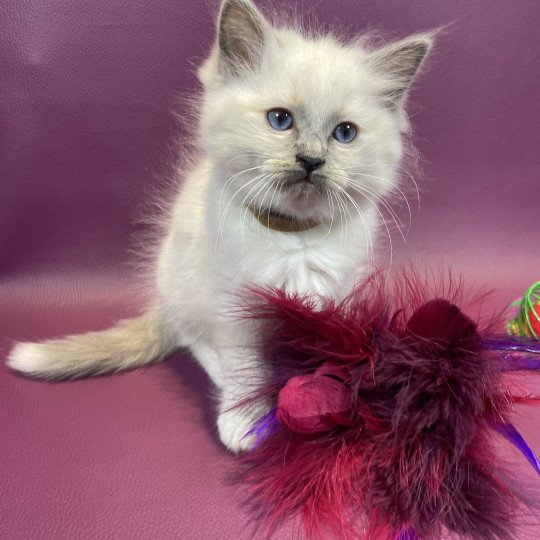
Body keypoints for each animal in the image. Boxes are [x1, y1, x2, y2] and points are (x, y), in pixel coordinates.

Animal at [6, 0, 432, 452]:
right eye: (280, 120)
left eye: (344, 133)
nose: (311, 161)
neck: (293, 236)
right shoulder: (235, 307)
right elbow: (245, 369)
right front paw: (245, 421)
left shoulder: (339, 295)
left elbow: (333, 352)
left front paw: (332, 396)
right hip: (184, 284)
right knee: (192, 339)